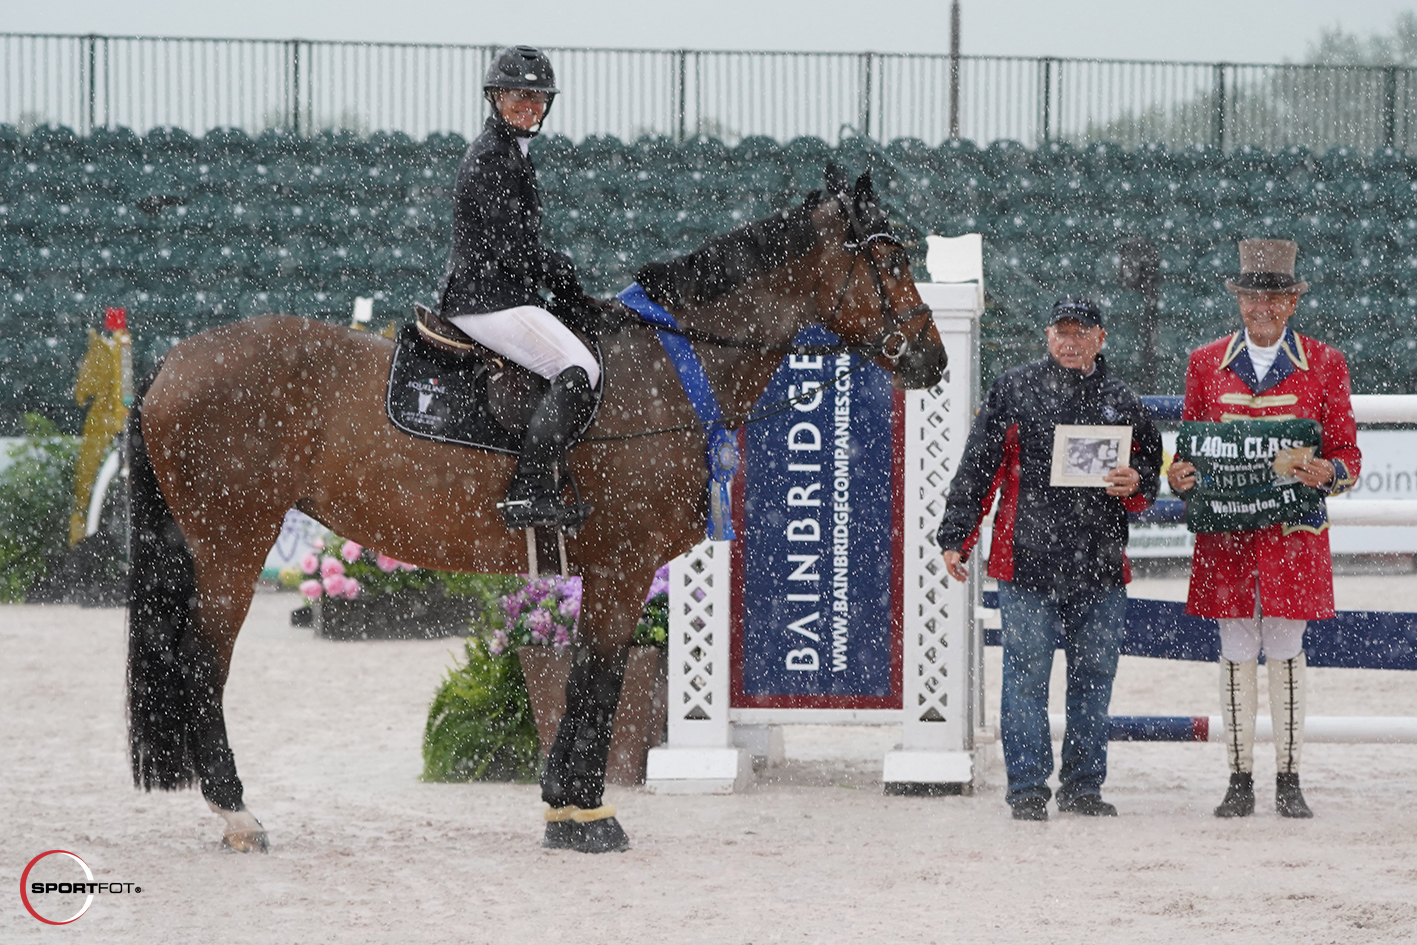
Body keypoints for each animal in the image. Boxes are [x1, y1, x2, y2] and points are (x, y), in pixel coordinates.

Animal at [127, 166, 946, 855]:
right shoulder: (623, 566)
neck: (673, 366)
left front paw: (566, 805)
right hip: (234, 545)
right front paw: (584, 814)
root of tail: (173, 361)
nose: (932, 359)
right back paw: (237, 813)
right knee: (201, 664)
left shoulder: (612, 568)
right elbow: (598, 677)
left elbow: (595, 675)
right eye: (890, 258)